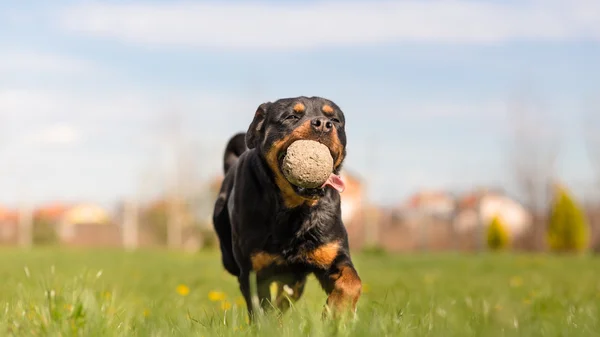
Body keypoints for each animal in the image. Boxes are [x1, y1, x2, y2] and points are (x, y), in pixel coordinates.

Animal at [211, 96, 360, 318]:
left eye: (335, 119)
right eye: (291, 116)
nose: (323, 124)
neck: (294, 210)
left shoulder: (333, 252)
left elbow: (352, 282)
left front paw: (336, 312)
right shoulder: (253, 272)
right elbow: (261, 310)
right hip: (230, 255)